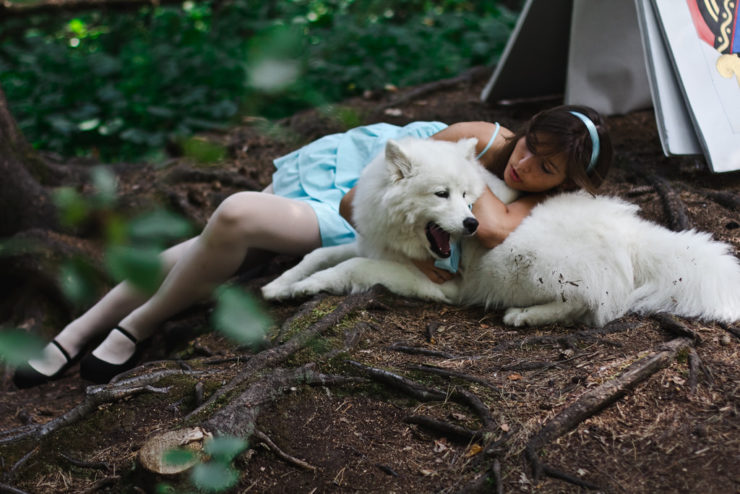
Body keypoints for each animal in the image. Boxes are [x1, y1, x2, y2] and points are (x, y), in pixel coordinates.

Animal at [264, 136, 740, 328]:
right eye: (442, 195)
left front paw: (306, 288)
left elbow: (350, 268)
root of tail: (635, 237)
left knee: (587, 304)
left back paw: (524, 316)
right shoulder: (371, 242)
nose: (473, 224)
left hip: (525, 263)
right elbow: (319, 255)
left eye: (468, 198)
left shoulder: (440, 284)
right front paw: (280, 285)